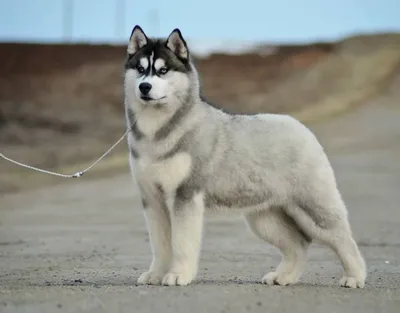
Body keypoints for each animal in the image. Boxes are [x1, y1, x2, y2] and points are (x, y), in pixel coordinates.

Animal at [123, 26, 368, 288]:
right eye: (140, 69)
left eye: (163, 70)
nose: (144, 87)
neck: (156, 133)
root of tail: (300, 126)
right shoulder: (153, 200)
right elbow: (160, 245)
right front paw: (156, 274)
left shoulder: (184, 196)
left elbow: (181, 244)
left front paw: (179, 274)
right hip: (265, 217)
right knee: (299, 244)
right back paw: (283, 277)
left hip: (313, 206)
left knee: (342, 238)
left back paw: (354, 277)